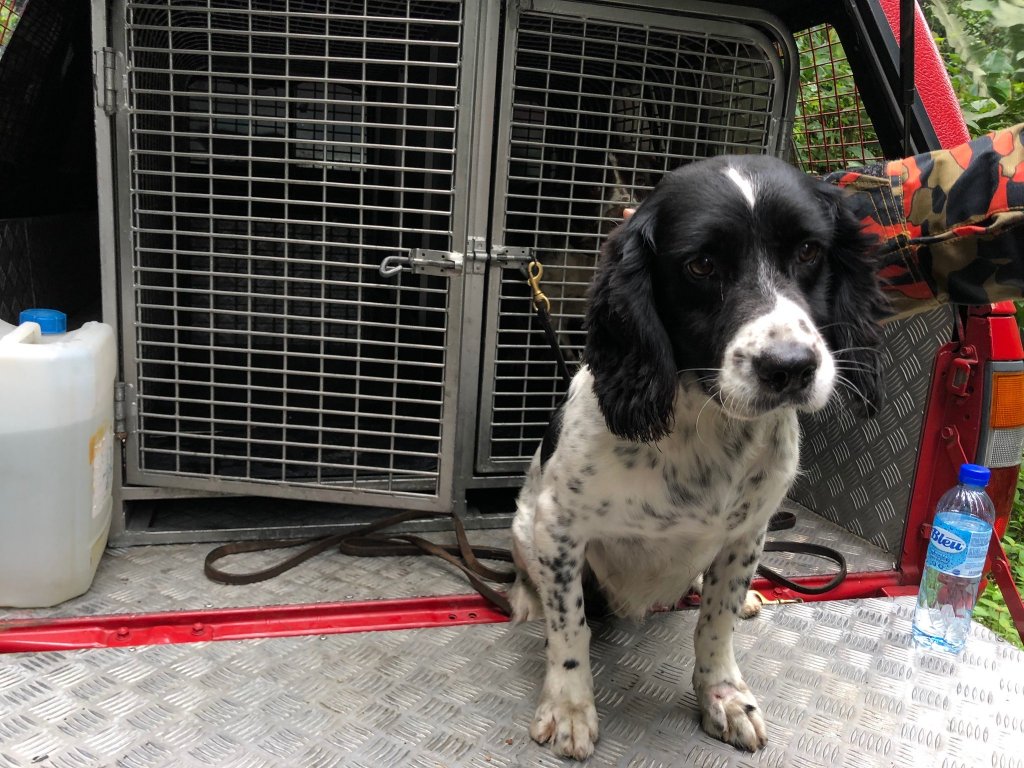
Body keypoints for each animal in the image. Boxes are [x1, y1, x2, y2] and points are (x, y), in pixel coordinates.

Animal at [508, 154, 887, 759]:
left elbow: (715, 623)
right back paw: (526, 597)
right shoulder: (558, 528)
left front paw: (722, 696)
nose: (790, 367)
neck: (707, 428)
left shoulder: (747, 533)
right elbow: (570, 628)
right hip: (525, 528)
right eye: (702, 265)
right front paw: (569, 706)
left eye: (810, 251)